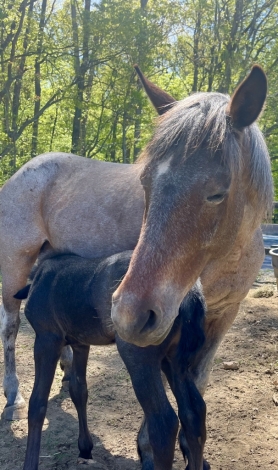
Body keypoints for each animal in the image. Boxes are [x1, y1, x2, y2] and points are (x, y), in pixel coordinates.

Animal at [0, 64, 272, 420]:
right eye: (145, 182)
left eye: (217, 193)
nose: (129, 314)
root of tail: (23, 171)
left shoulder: (223, 315)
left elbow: (197, 384)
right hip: (14, 268)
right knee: (10, 325)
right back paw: (13, 395)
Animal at [14, 253, 206, 470]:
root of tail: (190, 294)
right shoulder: (81, 343)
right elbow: (79, 390)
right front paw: (85, 448)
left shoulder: (47, 338)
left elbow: (37, 403)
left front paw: (30, 463)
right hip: (175, 361)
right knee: (194, 413)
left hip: (139, 358)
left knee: (164, 424)